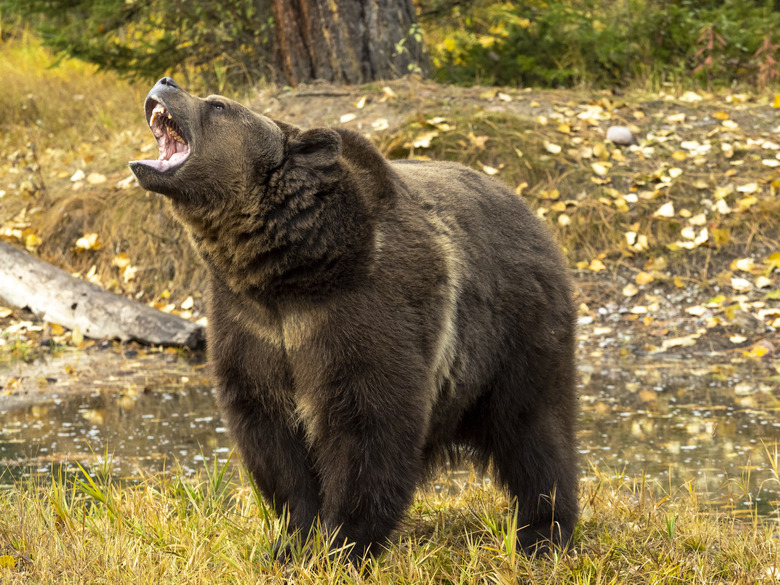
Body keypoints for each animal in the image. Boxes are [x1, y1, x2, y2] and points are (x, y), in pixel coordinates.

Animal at [129, 77, 580, 560]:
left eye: (217, 105)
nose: (166, 82)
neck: (286, 270)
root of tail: (533, 213)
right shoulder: (250, 323)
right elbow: (270, 432)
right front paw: (293, 540)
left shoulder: (362, 308)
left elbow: (367, 424)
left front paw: (344, 543)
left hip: (516, 331)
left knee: (534, 429)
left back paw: (543, 531)